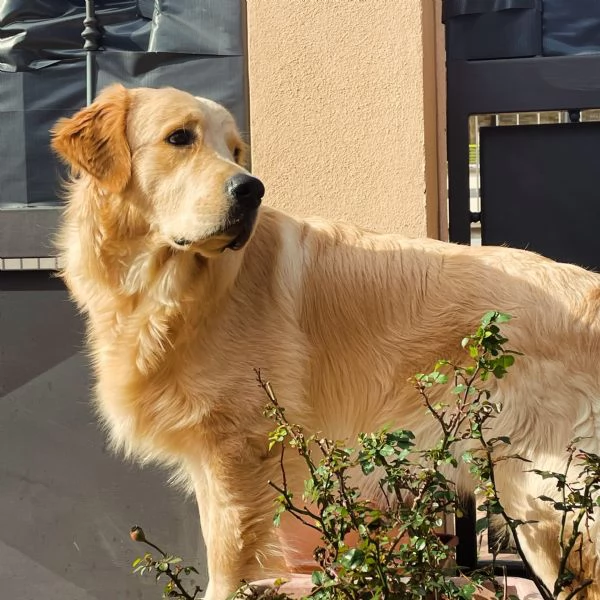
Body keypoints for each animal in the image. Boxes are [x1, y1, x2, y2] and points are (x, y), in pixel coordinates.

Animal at [52, 85, 600, 600]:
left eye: (234, 149)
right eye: (180, 138)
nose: (252, 189)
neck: (167, 288)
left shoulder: (236, 451)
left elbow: (226, 565)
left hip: (544, 492)